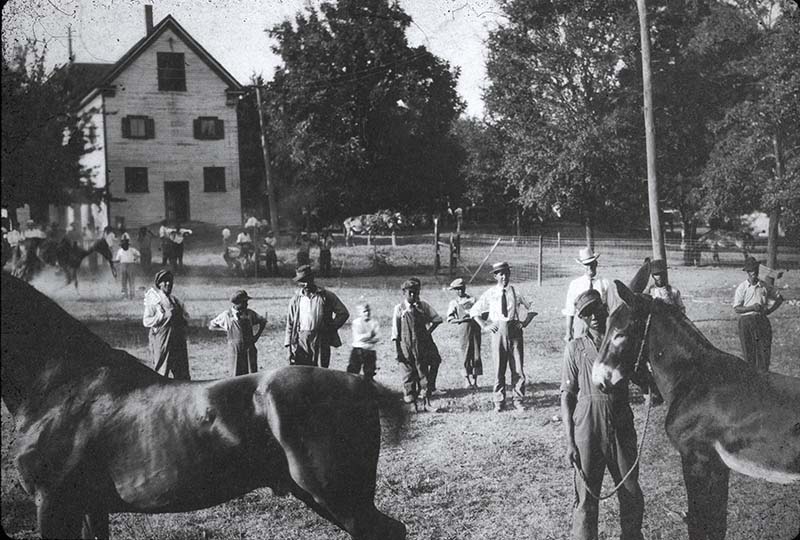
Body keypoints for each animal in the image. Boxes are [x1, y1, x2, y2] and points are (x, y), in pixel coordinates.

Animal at [592, 278, 796, 540]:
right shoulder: (718, 466)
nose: (598, 381)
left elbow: (699, 524)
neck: (694, 377)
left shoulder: (697, 459)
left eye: (620, 334)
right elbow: (716, 524)